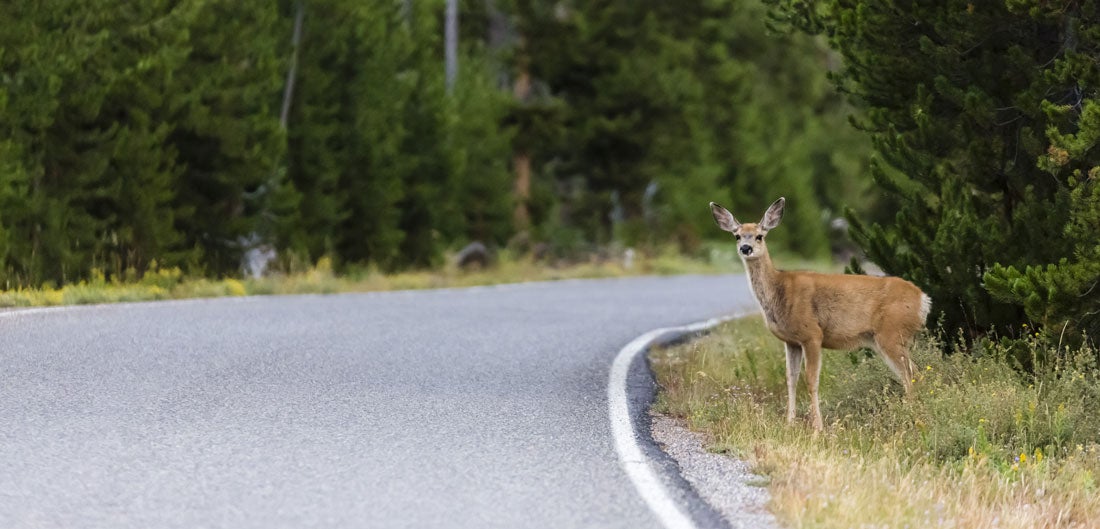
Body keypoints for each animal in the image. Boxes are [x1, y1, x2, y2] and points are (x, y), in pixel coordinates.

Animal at [709, 197, 931, 431]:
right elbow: (791, 379)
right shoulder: (791, 341)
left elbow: (811, 379)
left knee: (913, 374)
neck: (779, 291)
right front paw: (789, 423)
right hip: (885, 339)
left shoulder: (812, 334)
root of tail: (923, 299)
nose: (746, 248)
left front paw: (817, 427)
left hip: (892, 333)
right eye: (737, 235)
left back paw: (912, 417)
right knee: (912, 374)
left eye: (759, 235)